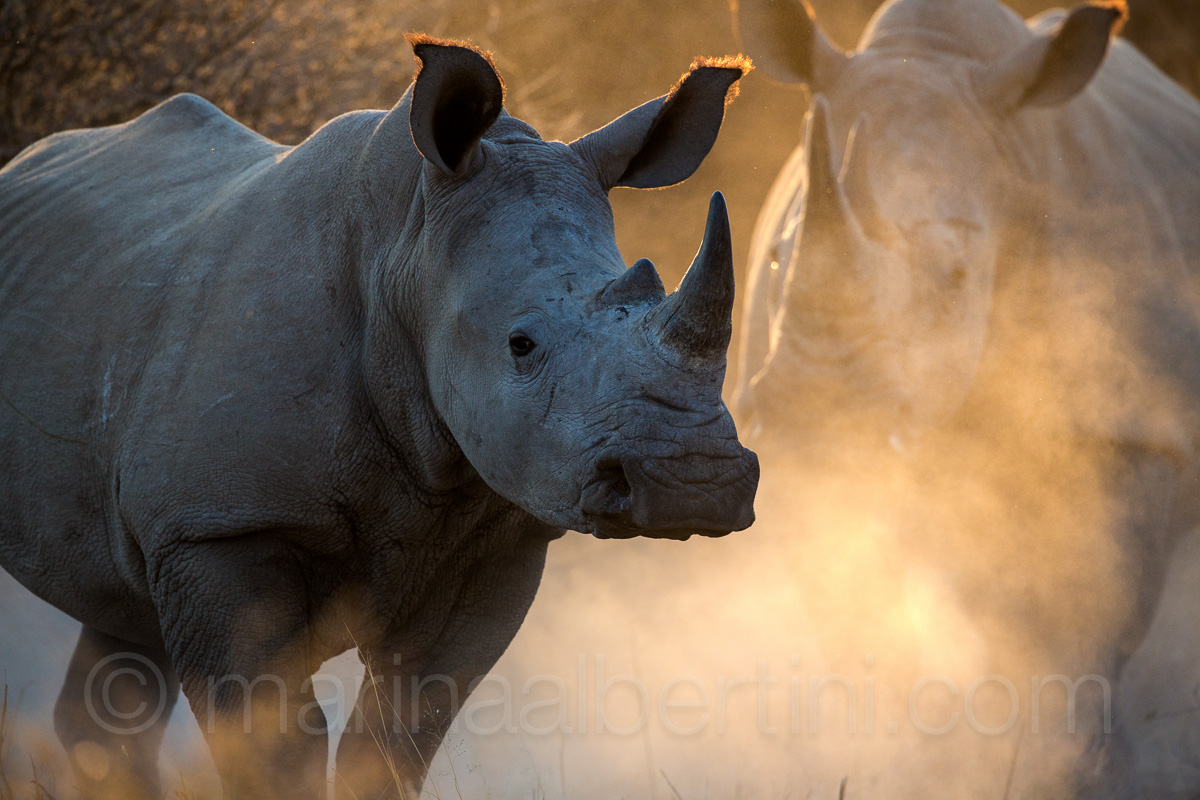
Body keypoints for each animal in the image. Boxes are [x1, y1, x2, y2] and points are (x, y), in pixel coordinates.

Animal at [0, 38, 758, 799]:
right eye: (521, 345)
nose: (696, 484)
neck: (407, 255)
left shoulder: (499, 543)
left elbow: (396, 735)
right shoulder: (219, 526)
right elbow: (274, 743)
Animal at [732, 0, 1200, 795]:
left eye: (953, 277)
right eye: (775, 262)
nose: (820, 421)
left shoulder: (1136, 427)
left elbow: (1097, 616)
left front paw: (1078, 773)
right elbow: (853, 608)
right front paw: (891, 757)